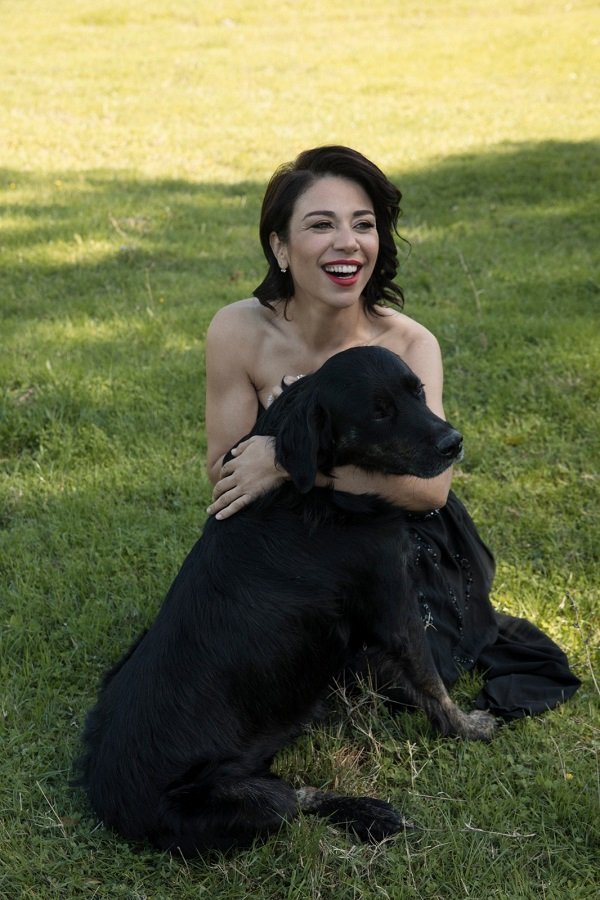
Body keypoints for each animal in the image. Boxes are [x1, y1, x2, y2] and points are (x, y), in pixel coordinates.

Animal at [77, 346, 496, 857]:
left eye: (418, 391)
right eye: (379, 411)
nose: (453, 443)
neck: (314, 491)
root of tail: (104, 797)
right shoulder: (392, 603)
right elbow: (431, 682)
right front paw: (468, 727)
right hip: (245, 800)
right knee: (297, 797)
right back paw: (369, 811)